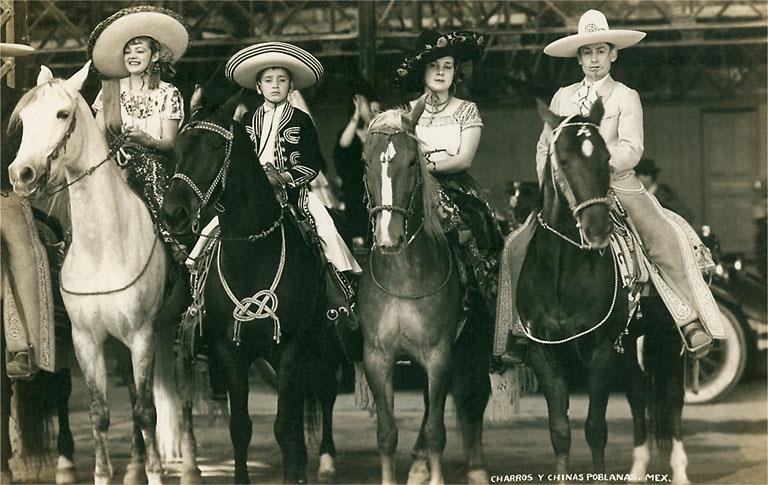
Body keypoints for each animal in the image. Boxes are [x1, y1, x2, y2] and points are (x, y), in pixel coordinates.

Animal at [7, 63, 195, 485]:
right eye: (25, 119)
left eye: (62, 114)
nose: (21, 173)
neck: (104, 250)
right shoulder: (87, 341)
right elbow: (100, 414)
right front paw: (105, 473)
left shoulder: (141, 336)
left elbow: (145, 412)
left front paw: (156, 473)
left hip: (177, 330)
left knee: (182, 396)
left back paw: (190, 465)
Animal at [160, 92, 339, 484]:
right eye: (178, 147)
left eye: (214, 145)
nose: (174, 214)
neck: (251, 253)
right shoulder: (230, 351)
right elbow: (240, 427)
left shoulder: (290, 347)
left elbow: (285, 428)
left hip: (324, 342)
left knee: (325, 391)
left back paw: (326, 461)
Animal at [358, 102, 491, 485]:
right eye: (366, 161)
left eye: (411, 163)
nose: (388, 238)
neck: (403, 277)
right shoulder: (377, 357)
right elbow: (387, 433)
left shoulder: (439, 355)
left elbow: (436, 430)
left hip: (474, 345)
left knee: (474, 397)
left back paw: (476, 468)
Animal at [515, 100, 688, 483]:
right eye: (564, 160)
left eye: (606, 158)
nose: (598, 228)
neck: (562, 274)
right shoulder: (545, 353)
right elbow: (560, 431)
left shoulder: (602, 350)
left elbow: (595, 428)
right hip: (629, 343)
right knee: (639, 393)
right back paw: (637, 471)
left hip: (667, 337)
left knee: (672, 397)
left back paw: (680, 470)